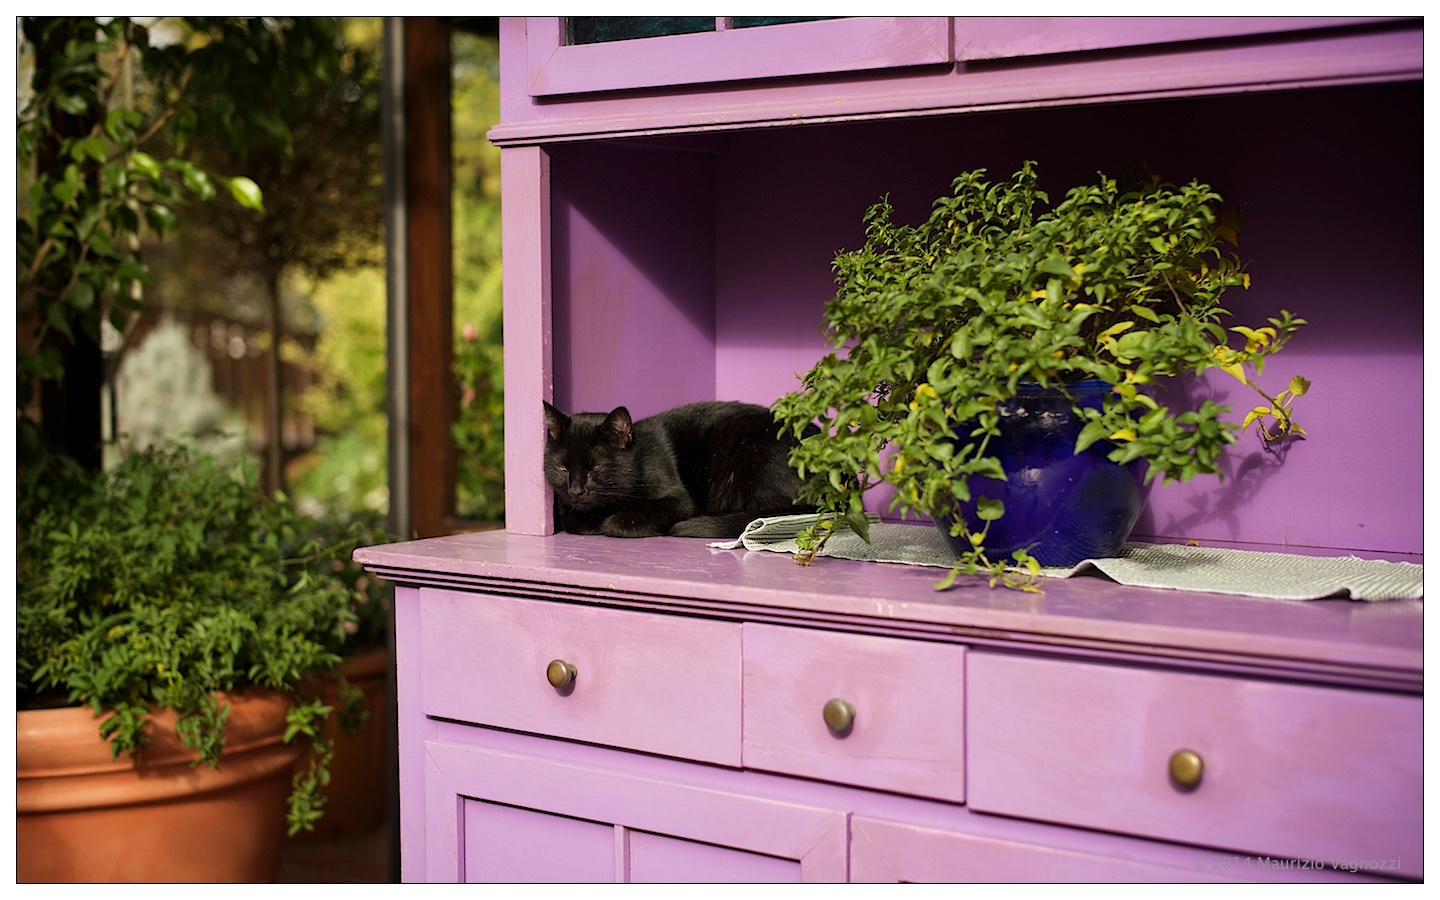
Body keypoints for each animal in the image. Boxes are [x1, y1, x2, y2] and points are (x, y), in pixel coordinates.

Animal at [542, 400, 815, 539]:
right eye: (562, 467)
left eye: (596, 467)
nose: (576, 490)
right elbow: (570, 518)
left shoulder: (679, 501)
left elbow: (616, 523)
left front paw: (607, 522)